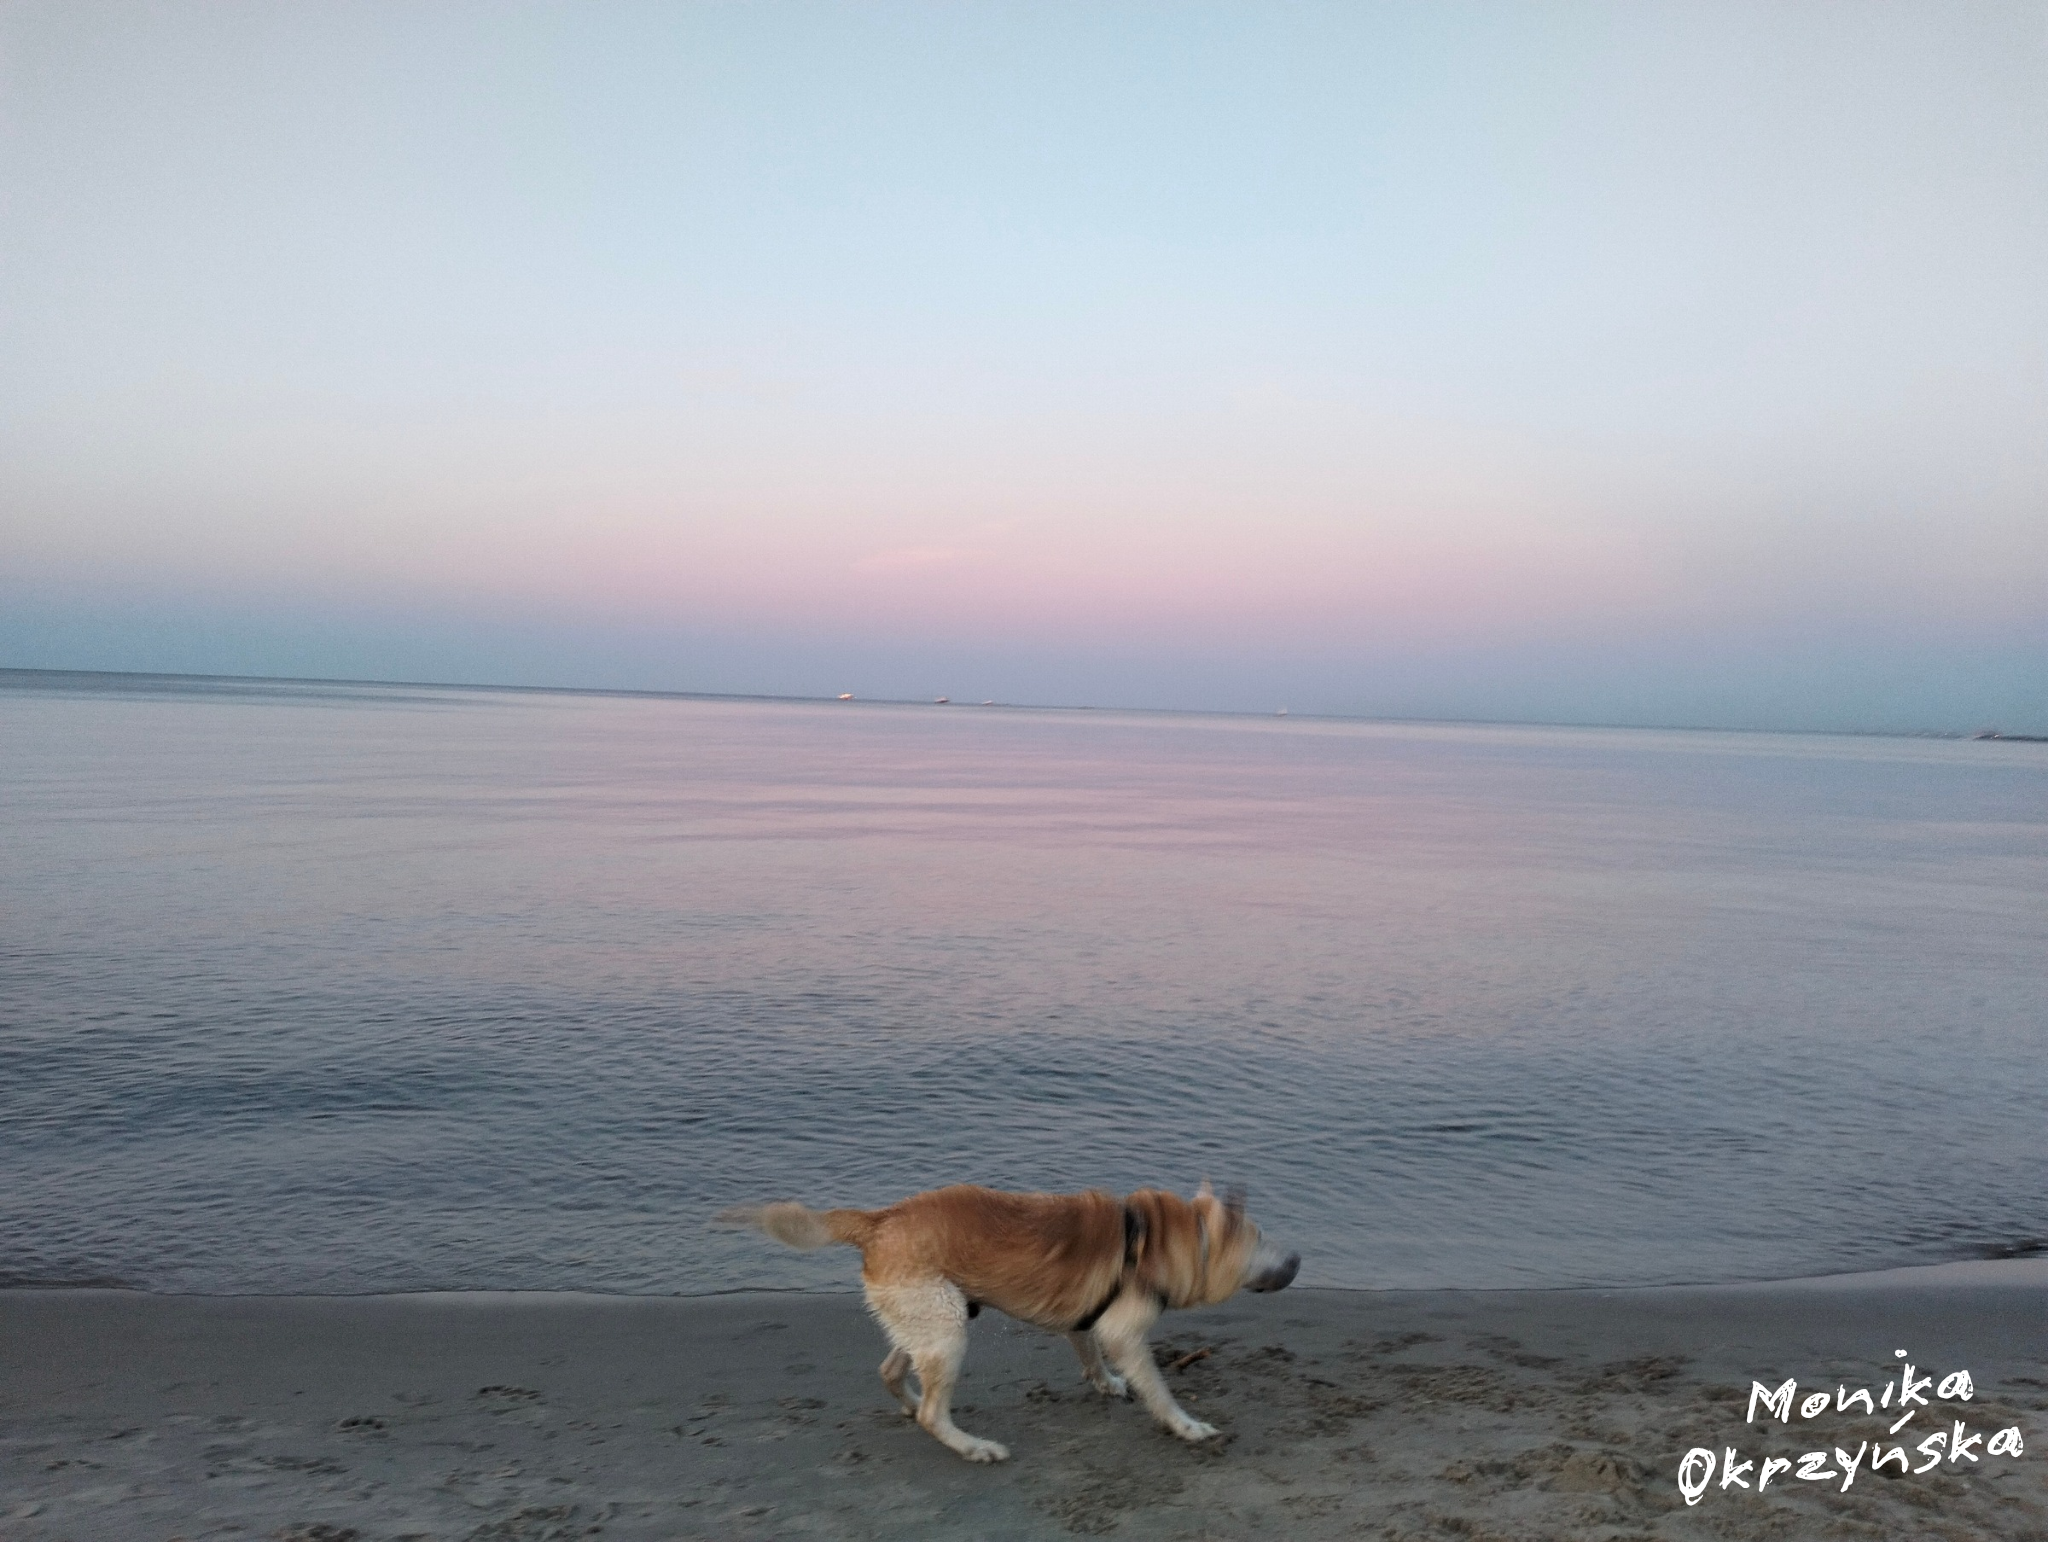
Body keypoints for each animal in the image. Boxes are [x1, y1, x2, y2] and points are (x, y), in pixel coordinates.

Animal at [718, 1181, 1299, 1462]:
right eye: (1260, 1240)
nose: (1297, 1259)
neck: (1159, 1238)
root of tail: (879, 1220)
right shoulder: (1125, 1333)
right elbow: (1158, 1389)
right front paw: (1185, 1425)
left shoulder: (1085, 1324)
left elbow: (1090, 1354)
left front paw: (1107, 1383)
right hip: (947, 1325)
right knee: (933, 1413)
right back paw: (970, 1445)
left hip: (932, 1316)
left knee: (892, 1371)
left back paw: (911, 1401)